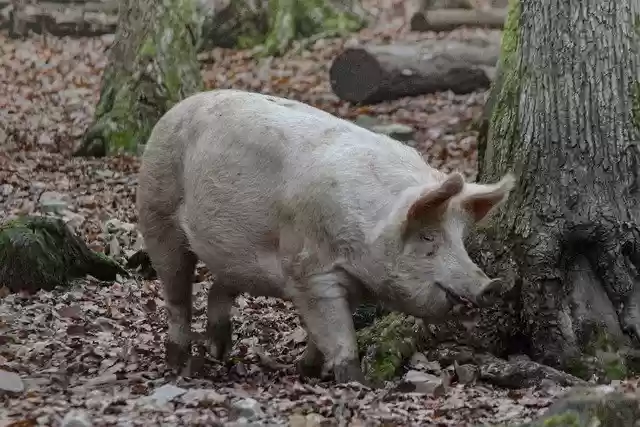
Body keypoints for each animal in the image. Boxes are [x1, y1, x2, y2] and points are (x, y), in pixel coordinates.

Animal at [136, 89, 515, 385]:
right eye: (427, 238)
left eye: (460, 238)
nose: (491, 285)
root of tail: (174, 110)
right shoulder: (310, 271)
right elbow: (338, 333)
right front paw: (357, 384)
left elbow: (322, 334)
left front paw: (308, 371)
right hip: (156, 211)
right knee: (177, 294)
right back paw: (180, 364)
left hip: (234, 254)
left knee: (220, 286)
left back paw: (219, 352)